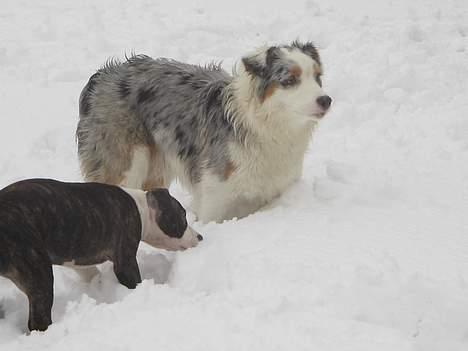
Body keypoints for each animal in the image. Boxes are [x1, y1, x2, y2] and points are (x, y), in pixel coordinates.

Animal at [0, 180, 200, 332]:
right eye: (182, 217)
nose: (200, 237)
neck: (141, 207)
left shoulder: (81, 260)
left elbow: (91, 274)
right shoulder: (125, 259)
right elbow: (133, 280)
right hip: (39, 275)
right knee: (38, 319)